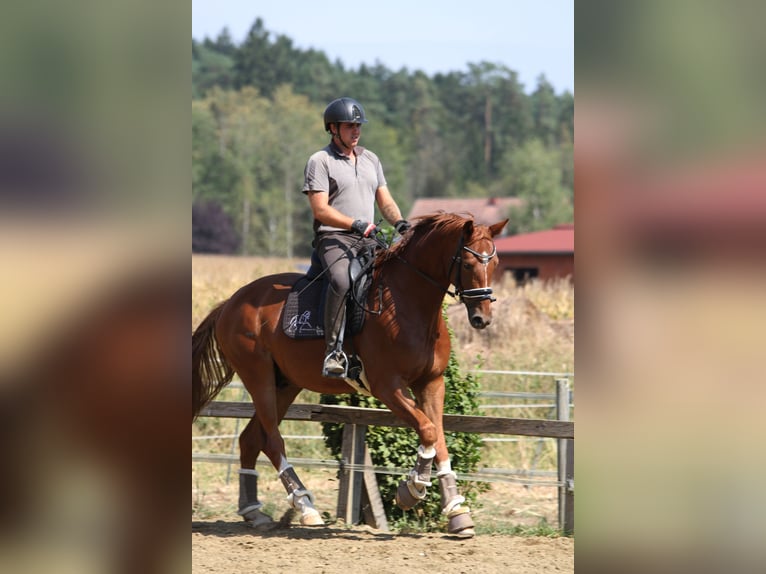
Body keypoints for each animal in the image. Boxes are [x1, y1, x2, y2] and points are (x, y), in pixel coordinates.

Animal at [192, 214, 510, 536]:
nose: (482, 318)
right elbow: (428, 430)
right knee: (271, 440)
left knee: (250, 439)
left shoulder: (431, 383)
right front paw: (412, 488)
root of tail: (230, 303)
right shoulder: (388, 387)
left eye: (495, 263)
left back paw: (253, 511)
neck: (408, 303)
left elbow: (439, 438)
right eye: (468, 264)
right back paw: (304, 506)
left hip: (285, 384)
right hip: (259, 378)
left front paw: (457, 512)